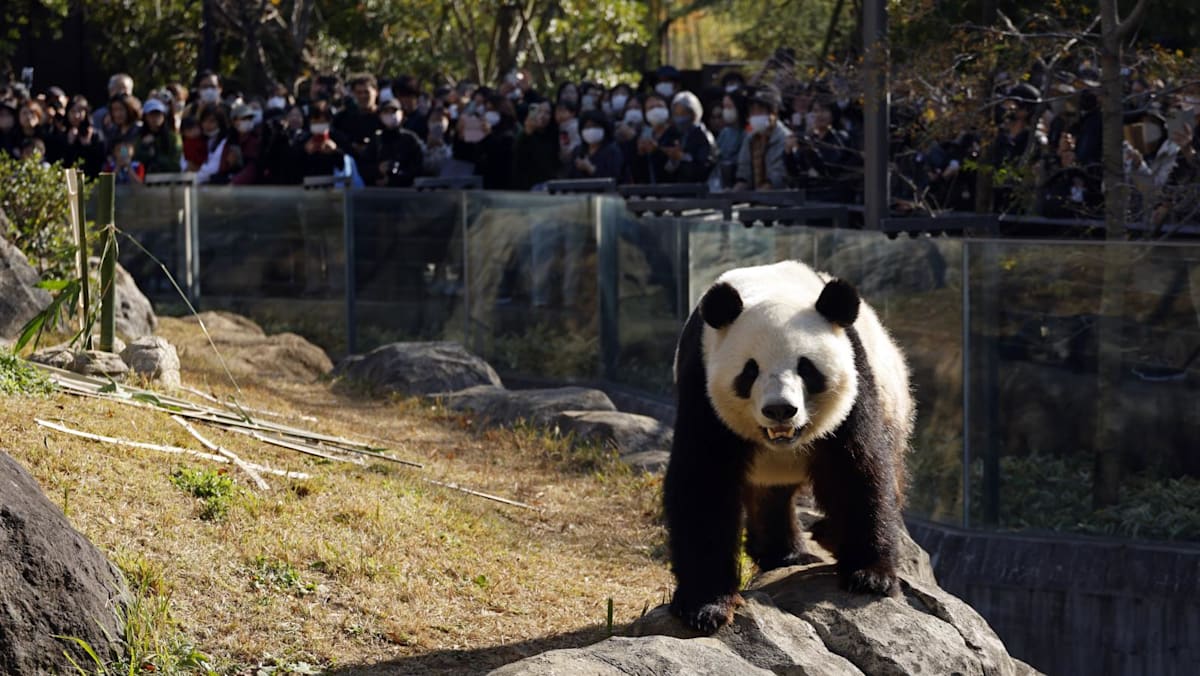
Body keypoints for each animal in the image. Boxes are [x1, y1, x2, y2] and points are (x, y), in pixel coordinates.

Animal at [664, 260, 914, 632]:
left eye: (806, 367)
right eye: (750, 371)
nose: (780, 409)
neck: (771, 289)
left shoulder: (856, 382)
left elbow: (857, 468)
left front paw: (871, 576)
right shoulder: (701, 384)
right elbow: (702, 483)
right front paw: (706, 605)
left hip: (893, 404)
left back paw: (817, 541)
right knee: (770, 496)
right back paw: (784, 552)